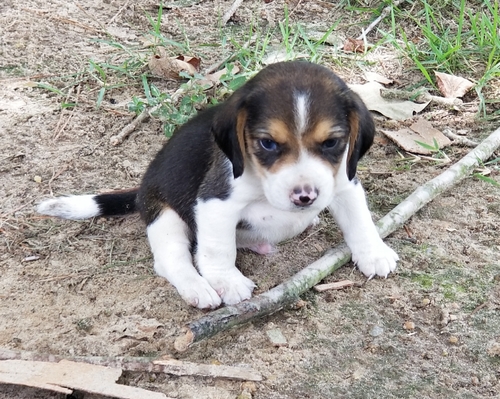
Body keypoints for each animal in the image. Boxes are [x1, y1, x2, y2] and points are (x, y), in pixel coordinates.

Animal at [38, 61, 398, 310]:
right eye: (267, 144)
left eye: (331, 143)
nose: (305, 196)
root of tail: (139, 192)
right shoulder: (216, 201)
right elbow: (217, 248)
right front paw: (227, 280)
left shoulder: (344, 183)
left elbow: (360, 221)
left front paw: (373, 252)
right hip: (165, 217)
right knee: (173, 259)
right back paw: (198, 288)